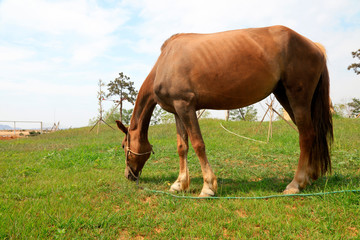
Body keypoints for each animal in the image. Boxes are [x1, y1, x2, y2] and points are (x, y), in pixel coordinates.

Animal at [116, 24, 334, 197]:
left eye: (124, 145)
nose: (128, 176)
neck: (166, 61)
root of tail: (315, 46)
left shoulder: (186, 106)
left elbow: (198, 144)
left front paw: (208, 187)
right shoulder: (177, 111)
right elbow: (182, 147)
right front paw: (179, 184)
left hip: (298, 98)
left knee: (306, 136)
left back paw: (295, 184)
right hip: (285, 96)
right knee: (311, 134)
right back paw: (308, 177)